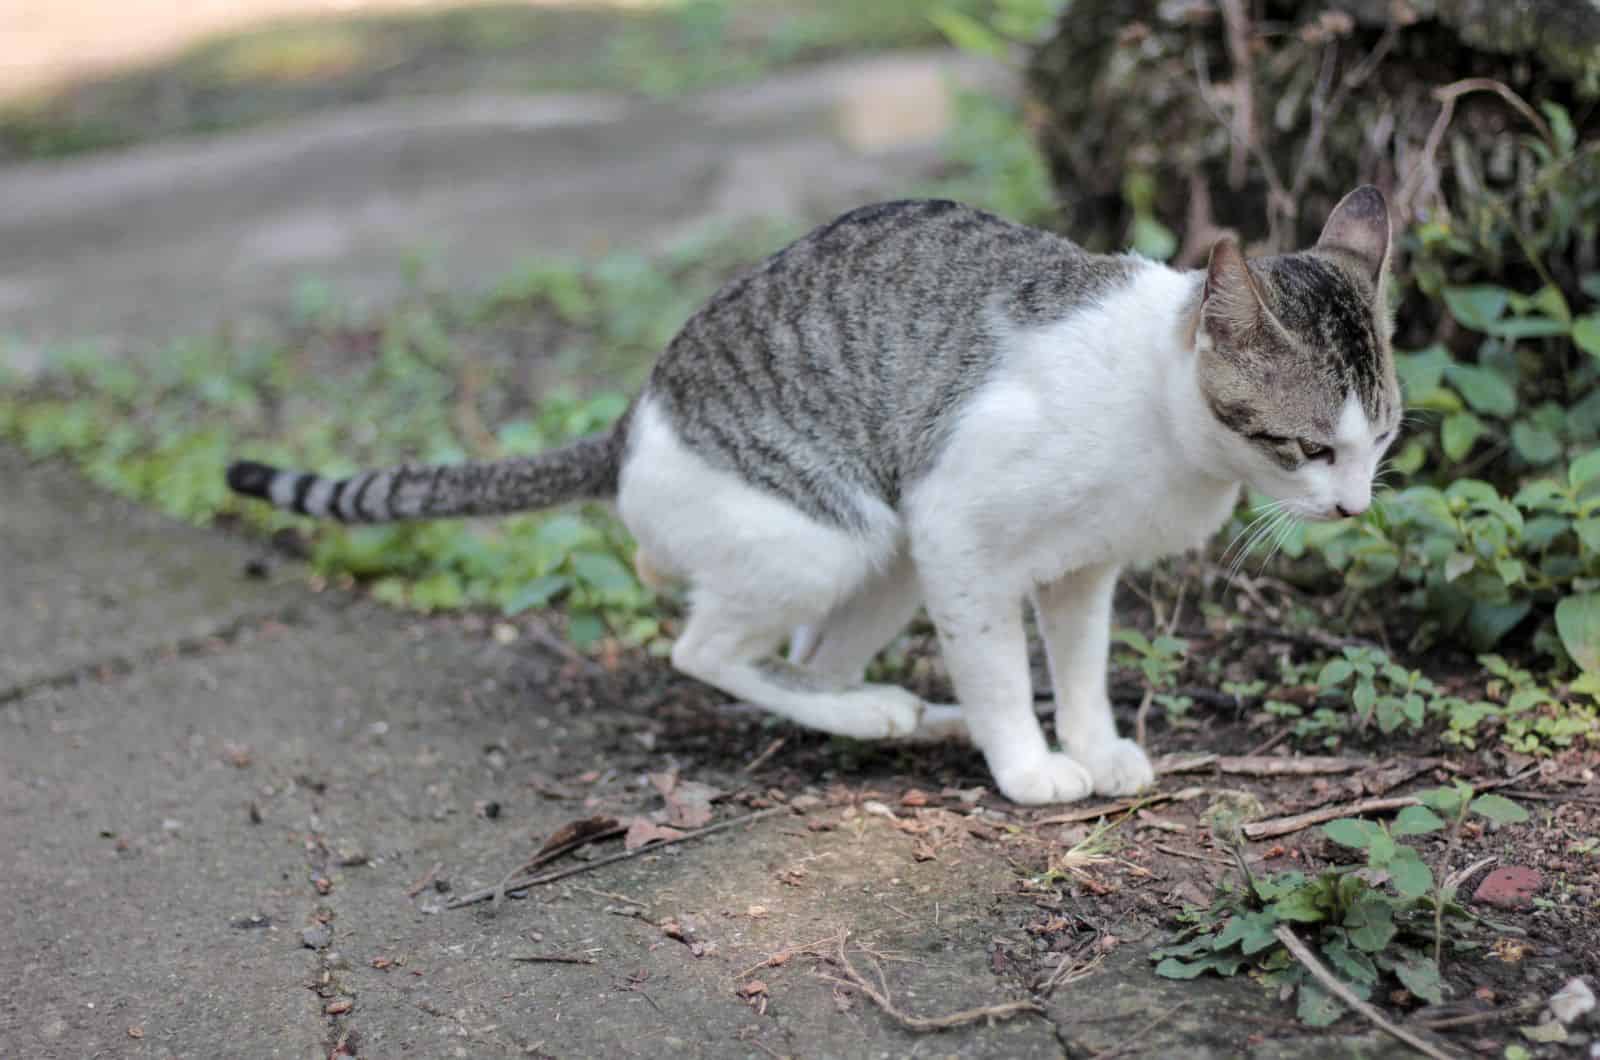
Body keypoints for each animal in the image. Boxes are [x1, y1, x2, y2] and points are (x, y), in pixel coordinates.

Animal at [225, 186, 1401, 810]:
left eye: (1381, 440)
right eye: (1307, 447)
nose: (1354, 510)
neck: (1158, 418)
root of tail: (633, 420)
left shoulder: (1081, 569)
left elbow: (1078, 666)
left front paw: (1090, 741)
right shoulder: (957, 528)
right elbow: (997, 668)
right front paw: (1030, 765)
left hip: (885, 560)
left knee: (807, 658)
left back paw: (897, 714)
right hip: (845, 529)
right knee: (703, 651)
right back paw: (889, 712)